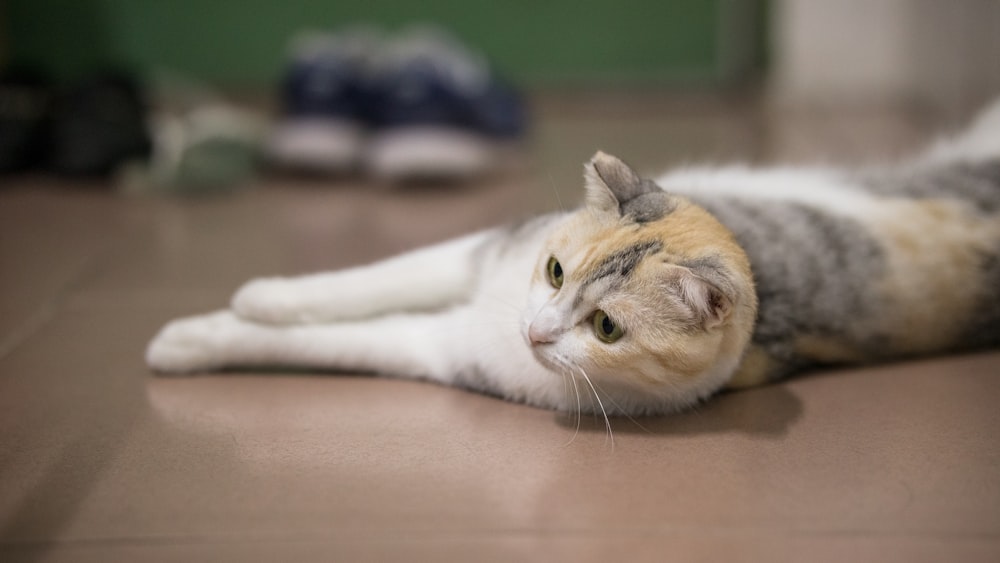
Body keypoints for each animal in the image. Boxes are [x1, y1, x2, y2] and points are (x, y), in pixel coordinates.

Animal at [146, 100, 1000, 418]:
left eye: (608, 328)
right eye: (555, 270)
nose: (535, 332)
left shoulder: (438, 347)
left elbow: (330, 342)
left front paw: (189, 339)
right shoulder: (481, 250)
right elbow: (363, 281)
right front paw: (250, 298)